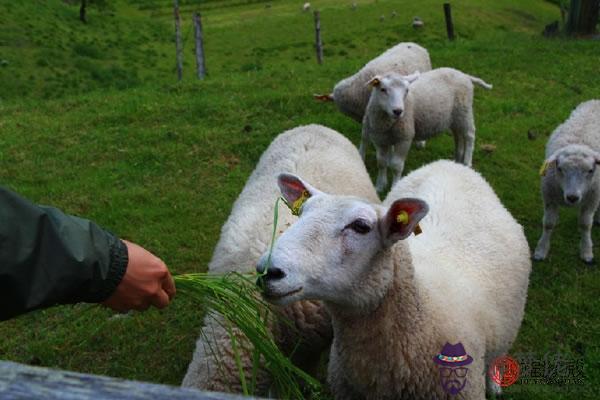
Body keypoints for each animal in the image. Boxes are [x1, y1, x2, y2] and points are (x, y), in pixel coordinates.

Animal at [360, 67, 492, 192]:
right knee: (458, 136)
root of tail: (463, 74)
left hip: (464, 111)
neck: (387, 122)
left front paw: (394, 187)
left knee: (470, 135)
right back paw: (458, 160)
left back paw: (467, 161)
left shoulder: (405, 138)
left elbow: (396, 166)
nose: (398, 111)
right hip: (454, 118)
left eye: (406, 91)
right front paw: (380, 186)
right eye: (383, 89)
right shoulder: (380, 139)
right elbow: (381, 163)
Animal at [536, 99, 600, 264]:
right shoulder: (549, 196)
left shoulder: (592, 198)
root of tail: (596, 101)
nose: (572, 197)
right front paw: (541, 250)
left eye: (590, 170)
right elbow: (548, 224)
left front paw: (586, 251)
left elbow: (585, 224)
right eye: (560, 168)